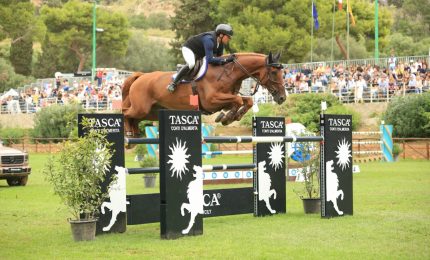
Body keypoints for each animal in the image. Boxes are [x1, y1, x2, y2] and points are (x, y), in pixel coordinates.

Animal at [122, 51, 286, 137]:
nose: (282, 98)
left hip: (152, 112)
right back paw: (128, 134)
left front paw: (230, 117)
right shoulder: (211, 101)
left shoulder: (226, 98)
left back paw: (134, 135)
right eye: (273, 72)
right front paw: (226, 117)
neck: (227, 73)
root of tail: (140, 76)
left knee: (134, 118)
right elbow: (238, 100)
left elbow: (246, 101)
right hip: (141, 108)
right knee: (125, 113)